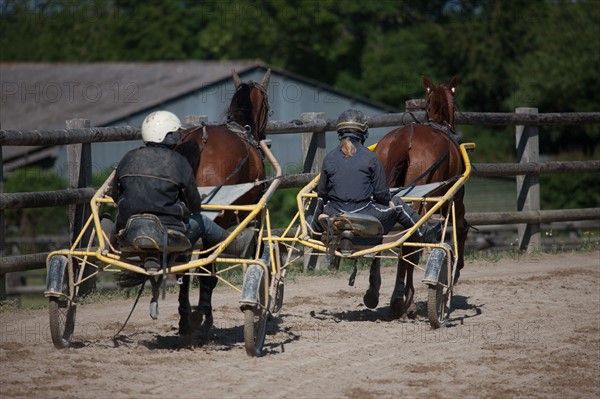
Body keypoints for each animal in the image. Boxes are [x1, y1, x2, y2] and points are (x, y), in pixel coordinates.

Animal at [175, 69, 270, 338]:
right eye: (268, 107)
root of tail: (200, 141)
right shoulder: (253, 214)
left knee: (184, 264)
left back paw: (185, 320)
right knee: (202, 268)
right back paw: (202, 317)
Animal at [372, 74, 466, 318]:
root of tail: (403, 139)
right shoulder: (456, 199)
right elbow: (461, 228)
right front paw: (456, 270)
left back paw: (374, 291)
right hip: (420, 201)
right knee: (410, 242)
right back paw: (403, 299)